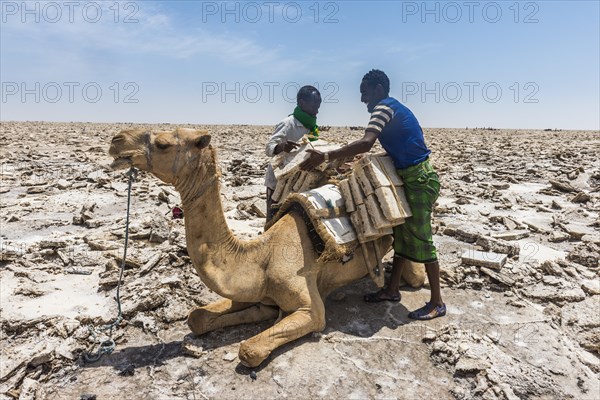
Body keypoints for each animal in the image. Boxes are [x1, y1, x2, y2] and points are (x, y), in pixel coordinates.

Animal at [109, 128, 426, 368]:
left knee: (415, 270)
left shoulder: (310, 309)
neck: (260, 256)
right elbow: (197, 318)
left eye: (162, 144)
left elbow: (249, 350)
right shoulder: (258, 296)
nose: (117, 140)